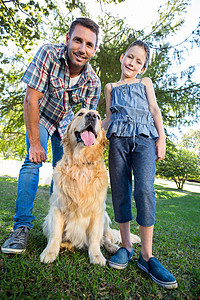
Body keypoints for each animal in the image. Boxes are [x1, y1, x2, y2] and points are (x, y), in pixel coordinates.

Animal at [40, 108, 141, 264]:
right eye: (80, 114)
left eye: (98, 117)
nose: (91, 116)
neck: (82, 162)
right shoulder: (57, 207)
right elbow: (55, 234)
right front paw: (50, 252)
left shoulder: (97, 211)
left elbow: (94, 238)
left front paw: (96, 255)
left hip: (105, 217)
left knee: (104, 238)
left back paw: (112, 248)